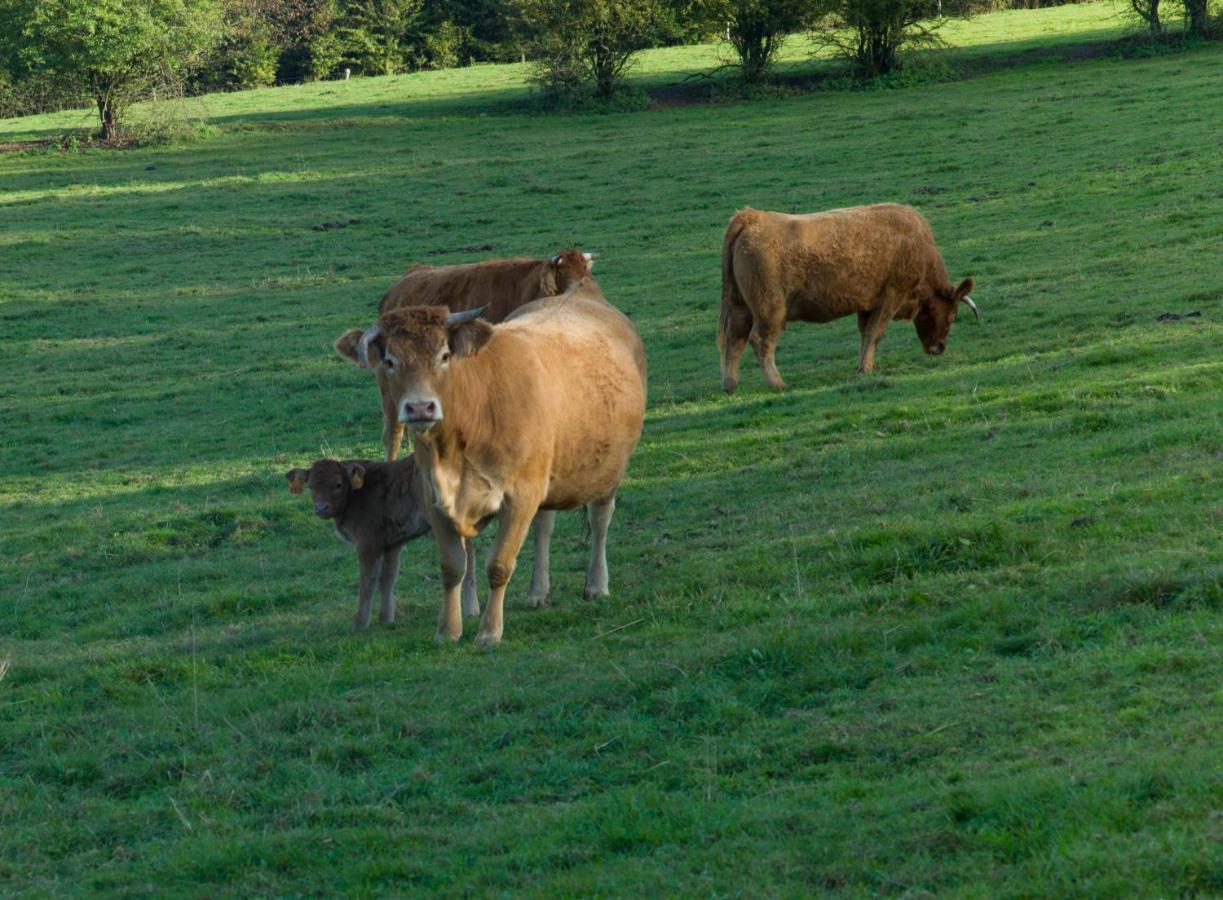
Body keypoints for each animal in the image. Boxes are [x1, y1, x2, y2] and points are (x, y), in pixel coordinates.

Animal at [281, 459, 555, 630]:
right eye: (311, 485)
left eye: (338, 484)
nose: (321, 508)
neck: (358, 494)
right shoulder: (392, 544)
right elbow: (388, 579)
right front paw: (386, 619)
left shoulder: (368, 544)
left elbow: (367, 582)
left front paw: (360, 623)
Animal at [342, 277, 645, 645]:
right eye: (389, 360)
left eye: (444, 355)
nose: (420, 408)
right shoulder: (434, 498)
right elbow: (452, 567)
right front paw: (448, 630)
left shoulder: (520, 496)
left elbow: (499, 565)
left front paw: (489, 631)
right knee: (544, 526)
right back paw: (537, 592)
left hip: (608, 469)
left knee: (600, 520)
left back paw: (596, 585)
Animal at [719, 205, 978, 391]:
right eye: (953, 315)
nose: (939, 348)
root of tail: (752, 218)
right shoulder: (891, 297)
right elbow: (875, 332)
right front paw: (866, 368)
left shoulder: (867, 306)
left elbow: (866, 334)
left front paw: (862, 365)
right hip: (770, 311)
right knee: (760, 341)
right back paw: (777, 383)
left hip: (741, 309)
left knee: (735, 341)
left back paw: (731, 386)